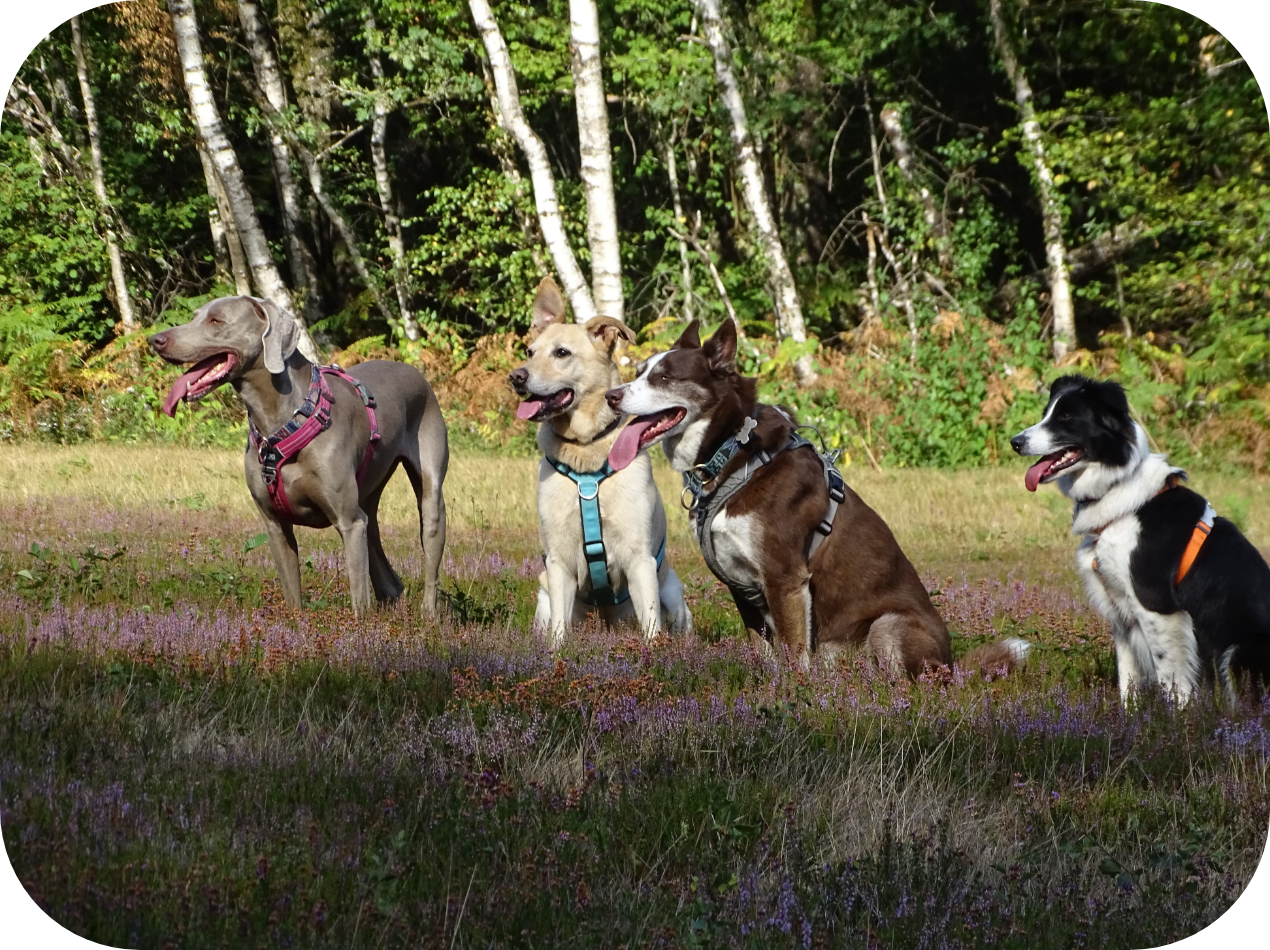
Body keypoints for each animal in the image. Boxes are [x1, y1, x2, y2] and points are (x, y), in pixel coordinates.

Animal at [148, 297, 449, 617]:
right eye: (195, 317)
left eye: (216, 321)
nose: (156, 339)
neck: (282, 424)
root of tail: (416, 372)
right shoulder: (276, 526)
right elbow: (293, 595)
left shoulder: (349, 522)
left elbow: (358, 600)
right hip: (369, 493)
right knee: (382, 560)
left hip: (429, 492)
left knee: (429, 546)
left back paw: (428, 615)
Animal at [599, 321, 1026, 675]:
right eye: (638, 372)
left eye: (664, 377)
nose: (610, 396)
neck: (735, 451)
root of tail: (952, 663)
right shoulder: (741, 586)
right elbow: (763, 649)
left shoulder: (784, 578)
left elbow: (791, 653)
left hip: (889, 625)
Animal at [1010, 375, 1270, 701]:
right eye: (1047, 413)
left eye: (1066, 417)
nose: (1015, 442)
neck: (1119, 489)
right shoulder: (1121, 613)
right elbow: (1128, 682)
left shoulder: (1157, 607)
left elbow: (1172, 681)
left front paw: (1178, 715)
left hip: (1239, 650)